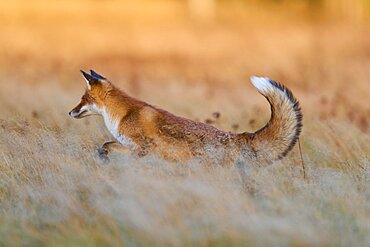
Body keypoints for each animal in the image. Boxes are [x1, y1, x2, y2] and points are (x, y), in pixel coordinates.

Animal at [68, 70, 300, 168]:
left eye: (82, 99)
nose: (70, 113)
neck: (122, 115)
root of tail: (236, 136)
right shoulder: (131, 146)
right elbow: (105, 145)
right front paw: (103, 158)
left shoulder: (143, 148)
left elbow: (109, 147)